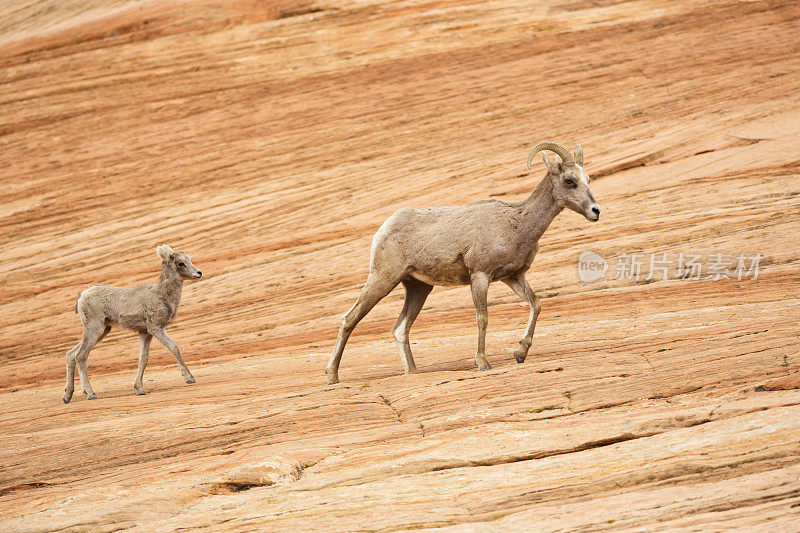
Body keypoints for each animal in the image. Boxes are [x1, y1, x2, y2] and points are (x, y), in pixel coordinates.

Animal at [64, 245, 205, 404]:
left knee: (71, 354)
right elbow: (174, 347)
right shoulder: (156, 328)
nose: (199, 273)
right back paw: (90, 393)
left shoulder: (145, 332)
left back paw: (67, 396)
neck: (162, 295)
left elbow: (143, 358)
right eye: (181, 263)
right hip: (95, 328)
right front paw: (189, 378)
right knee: (80, 356)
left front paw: (139, 389)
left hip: (103, 330)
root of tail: (81, 297)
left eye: (190, 259)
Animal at [324, 141, 600, 382]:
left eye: (588, 179)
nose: (595, 211)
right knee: (349, 319)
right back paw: (332, 376)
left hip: (418, 287)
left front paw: (520, 353)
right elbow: (482, 317)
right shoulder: (480, 275)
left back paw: (413, 373)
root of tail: (383, 229)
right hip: (383, 278)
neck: (516, 224)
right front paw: (483, 363)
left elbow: (537, 304)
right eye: (569, 181)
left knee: (400, 328)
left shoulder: (513, 277)